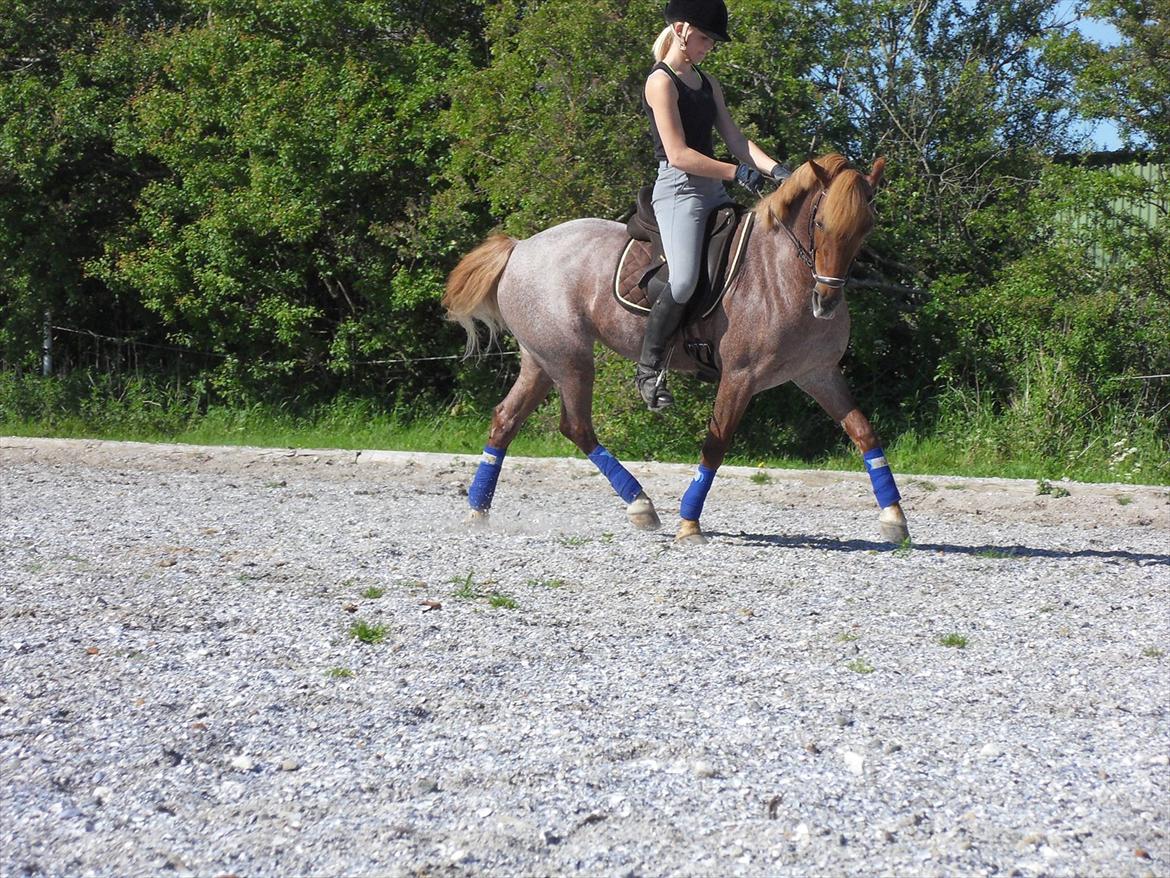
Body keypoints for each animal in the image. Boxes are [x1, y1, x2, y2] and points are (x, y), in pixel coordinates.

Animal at [442, 154, 907, 547]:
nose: (825, 303)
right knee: (576, 426)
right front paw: (689, 522)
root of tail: (521, 248)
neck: (779, 275)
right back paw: (640, 504)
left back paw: (478, 511)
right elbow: (716, 444)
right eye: (822, 224)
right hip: (570, 358)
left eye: (866, 228)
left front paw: (895, 518)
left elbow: (863, 431)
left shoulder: (819, 372)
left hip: (542, 358)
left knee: (506, 420)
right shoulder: (740, 375)